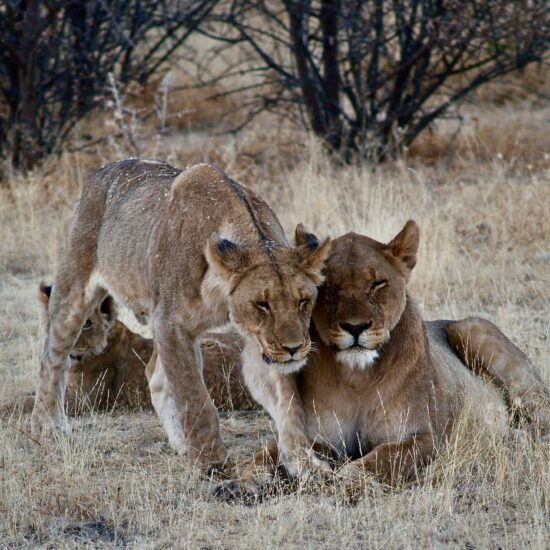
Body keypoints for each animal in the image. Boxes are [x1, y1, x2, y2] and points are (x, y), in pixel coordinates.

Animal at [30, 161, 330, 474]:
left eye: (303, 301)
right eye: (262, 304)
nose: (294, 348)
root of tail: (105, 168)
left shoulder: (255, 340)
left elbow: (287, 400)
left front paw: (304, 462)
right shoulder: (172, 323)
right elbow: (194, 397)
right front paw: (212, 462)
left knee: (154, 374)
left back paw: (182, 444)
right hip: (73, 291)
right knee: (52, 359)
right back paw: (47, 428)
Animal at [235, 223, 548, 496]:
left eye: (377, 283)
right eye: (329, 287)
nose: (356, 327)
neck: (356, 377)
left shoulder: (428, 438)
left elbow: (383, 458)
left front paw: (347, 481)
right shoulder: (319, 438)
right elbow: (270, 452)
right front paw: (247, 480)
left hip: (471, 329)